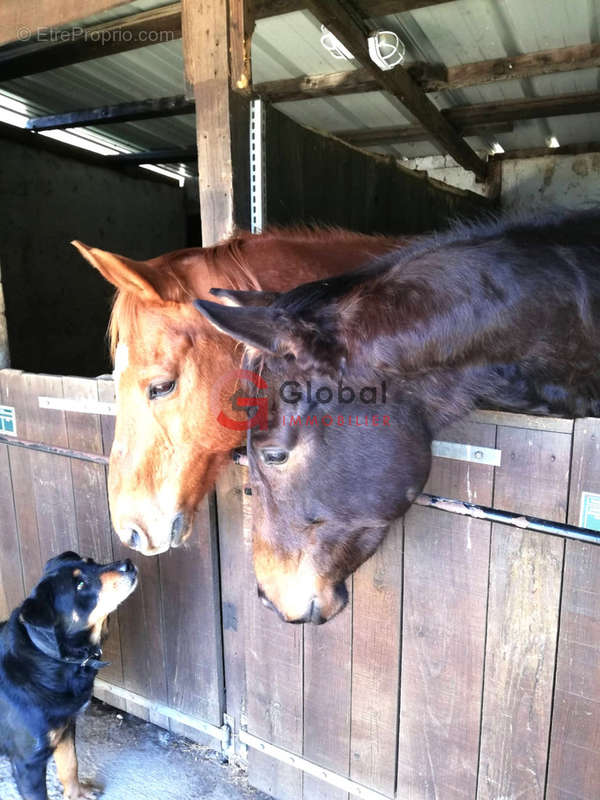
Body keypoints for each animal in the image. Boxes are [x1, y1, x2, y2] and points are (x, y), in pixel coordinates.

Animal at [0, 552, 137, 800]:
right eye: (80, 585)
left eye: (91, 561)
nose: (128, 564)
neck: (50, 656)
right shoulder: (28, 762)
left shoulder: (65, 728)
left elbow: (70, 764)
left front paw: (76, 793)